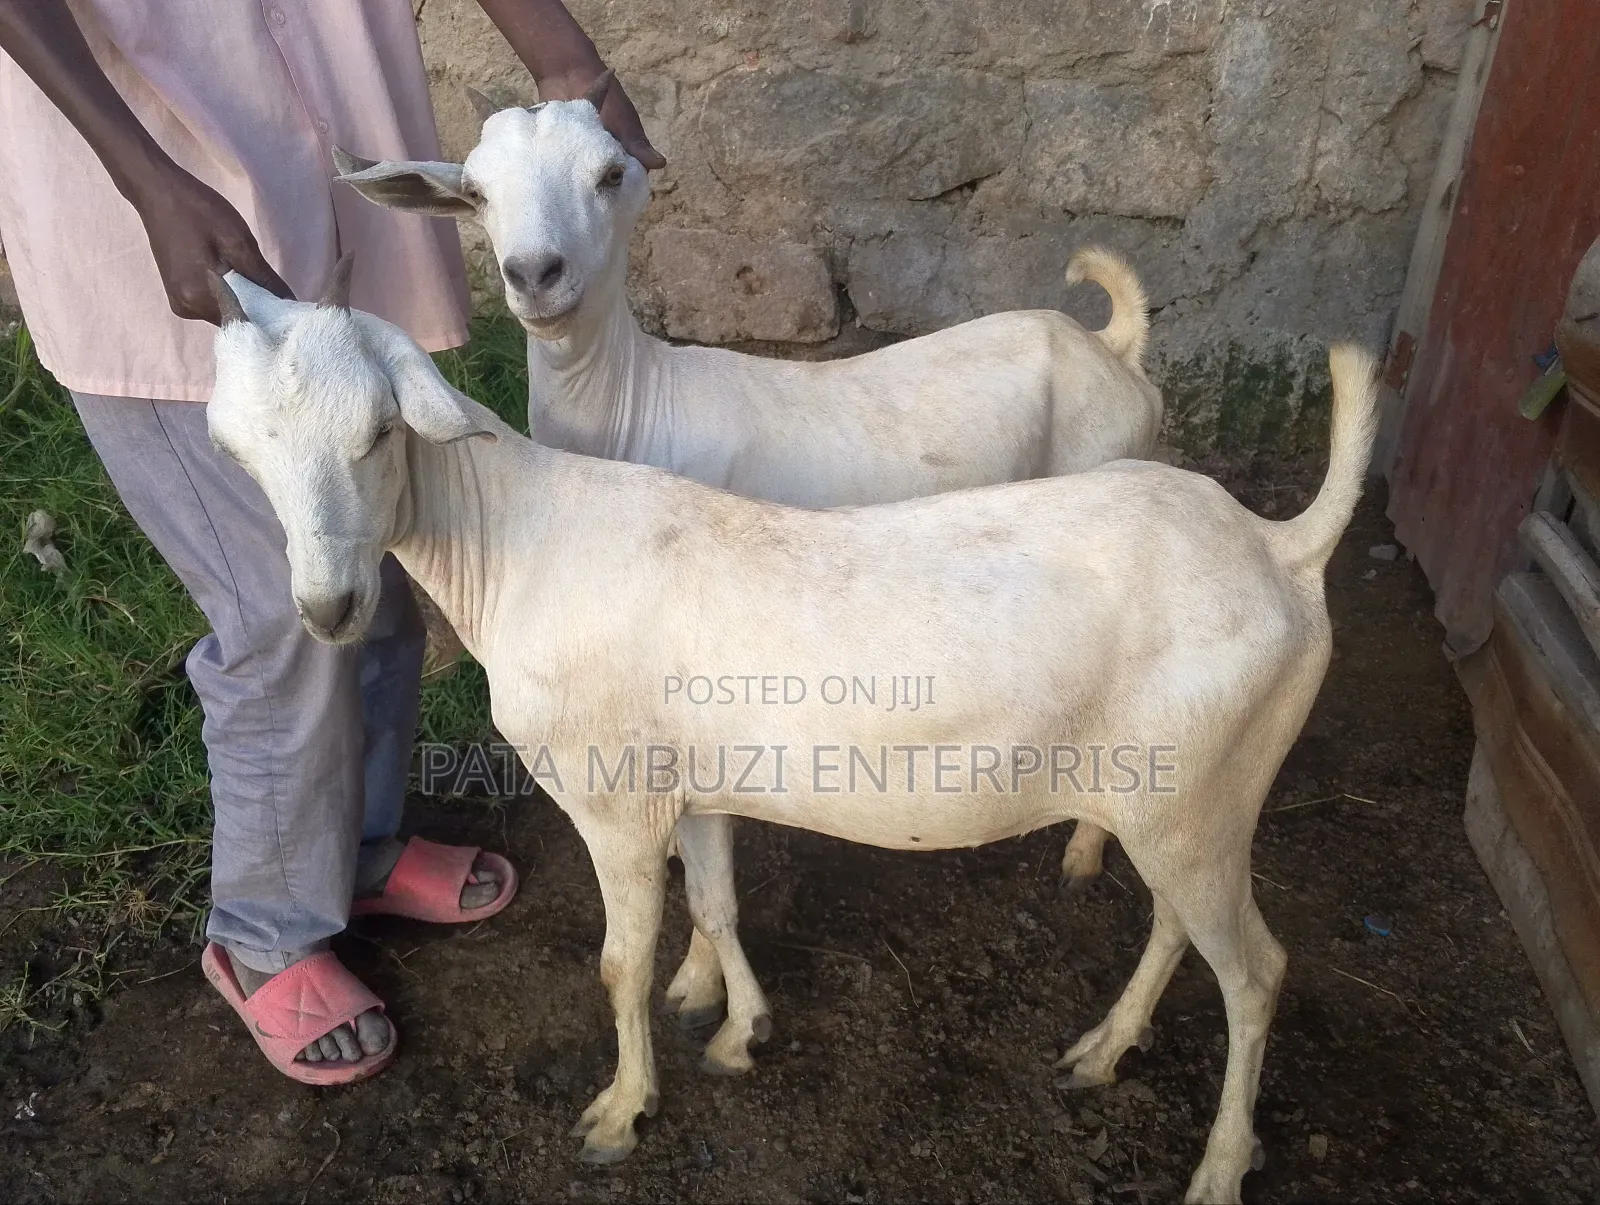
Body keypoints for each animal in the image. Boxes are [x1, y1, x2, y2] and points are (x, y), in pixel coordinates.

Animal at [206, 258, 1377, 1205]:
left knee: (1257, 970)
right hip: (1182, 795)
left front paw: (620, 1111)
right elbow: (717, 902)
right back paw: (1102, 1048)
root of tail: (1283, 548)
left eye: (377, 434)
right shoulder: (691, 781)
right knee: (1180, 924)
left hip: (1198, 794)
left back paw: (1219, 1165)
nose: (328, 609)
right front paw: (738, 1027)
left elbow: (618, 965)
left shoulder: (613, 802)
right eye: (240, 455)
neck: (513, 544)